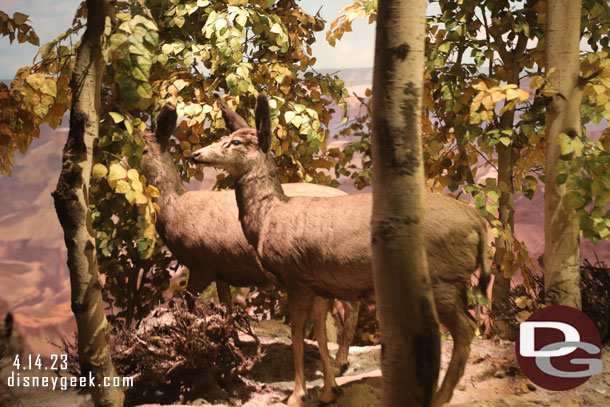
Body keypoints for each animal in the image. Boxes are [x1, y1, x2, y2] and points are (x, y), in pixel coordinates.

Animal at [138, 104, 356, 376]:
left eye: (142, 148)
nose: (195, 154)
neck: (175, 206)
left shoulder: (201, 263)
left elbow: (190, 304)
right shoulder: (220, 268)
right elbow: (227, 308)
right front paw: (231, 345)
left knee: (349, 308)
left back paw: (339, 364)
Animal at [192, 96, 492, 407]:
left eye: (236, 142)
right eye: (224, 137)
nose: (195, 154)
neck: (268, 217)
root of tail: (477, 222)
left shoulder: (296, 277)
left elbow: (297, 334)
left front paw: (297, 395)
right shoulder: (319, 285)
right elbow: (321, 334)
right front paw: (329, 389)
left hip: (443, 280)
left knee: (464, 329)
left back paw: (440, 397)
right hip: (455, 282)